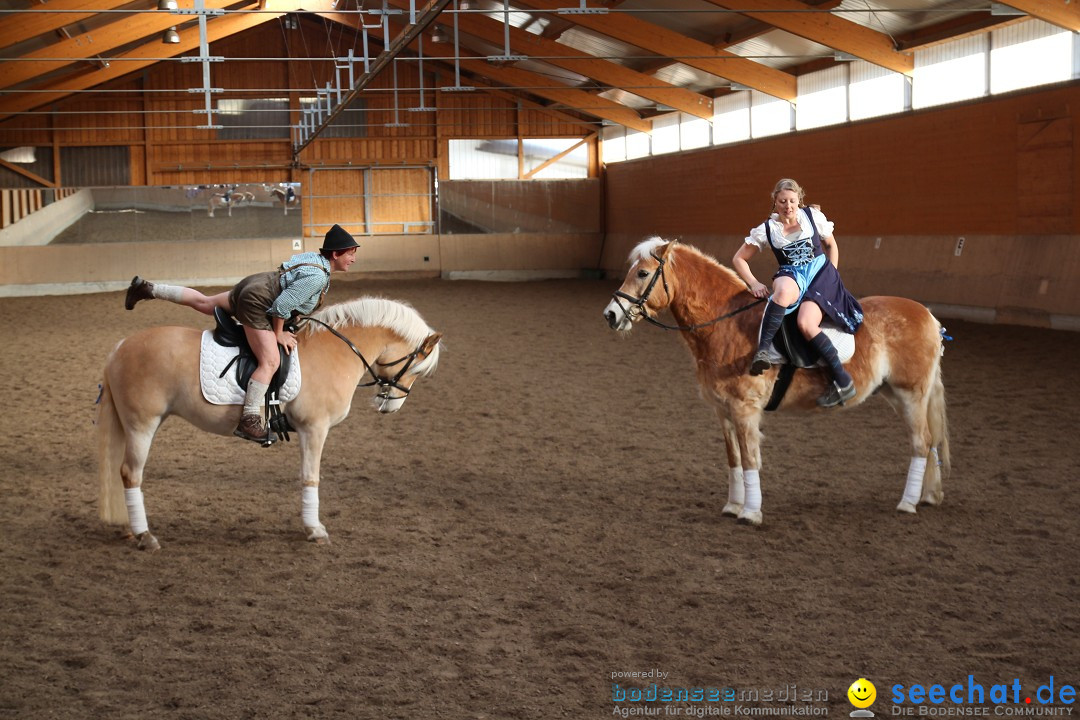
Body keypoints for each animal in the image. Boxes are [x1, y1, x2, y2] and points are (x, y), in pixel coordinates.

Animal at [98, 295, 442, 548]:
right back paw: (144, 536)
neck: (336, 350)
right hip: (142, 425)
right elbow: (310, 477)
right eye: (416, 366)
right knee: (130, 474)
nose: (392, 404)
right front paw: (314, 530)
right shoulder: (314, 429)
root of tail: (119, 347)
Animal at [604, 239, 950, 526]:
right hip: (896, 394)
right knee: (929, 441)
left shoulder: (744, 410)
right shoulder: (723, 411)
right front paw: (733, 506)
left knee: (921, 442)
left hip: (911, 394)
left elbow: (750, 459)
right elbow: (734, 458)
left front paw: (750, 513)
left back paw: (907, 503)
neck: (727, 322)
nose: (611, 315)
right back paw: (927, 496)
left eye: (643, 273)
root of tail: (928, 316)